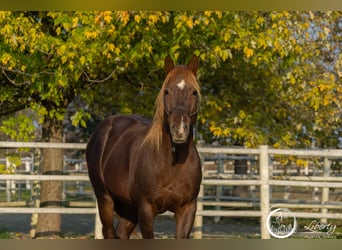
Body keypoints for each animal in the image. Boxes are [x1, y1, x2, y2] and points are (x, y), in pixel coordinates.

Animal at [86, 54, 203, 238]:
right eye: (167, 91)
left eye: (194, 92)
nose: (179, 130)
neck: (173, 163)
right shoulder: (146, 209)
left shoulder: (187, 209)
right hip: (105, 199)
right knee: (109, 231)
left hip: (128, 207)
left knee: (121, 232)